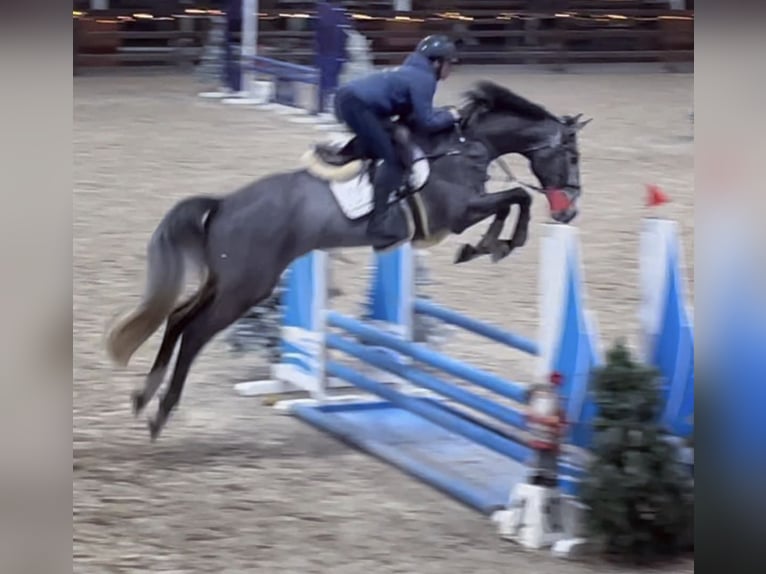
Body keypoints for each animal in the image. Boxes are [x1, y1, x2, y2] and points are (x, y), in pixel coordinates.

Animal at [105, 81, 592, 440]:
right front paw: (494, 245)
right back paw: (160, 412)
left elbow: (510, 203)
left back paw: (143, 396)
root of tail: (223, 204)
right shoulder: (456, 214)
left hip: (224, 282)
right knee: (195, 332)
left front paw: (487, 246)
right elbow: (515, 200)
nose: (570, 212)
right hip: (245, 289)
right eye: (571, 155)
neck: (464, 145)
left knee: (178, 318)